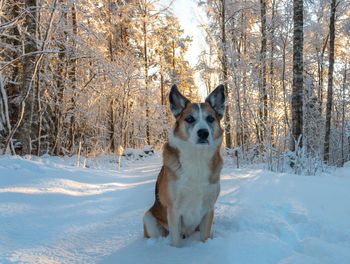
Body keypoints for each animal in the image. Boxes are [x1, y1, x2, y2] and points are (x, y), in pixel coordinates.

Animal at [142, 84, 224, 248]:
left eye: (210, 118)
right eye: (190, 119)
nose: (203, 133)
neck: (197, 158)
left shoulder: (209, 209)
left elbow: (205, 237)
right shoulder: (174, 211)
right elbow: (176, 241)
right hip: (149, 219)